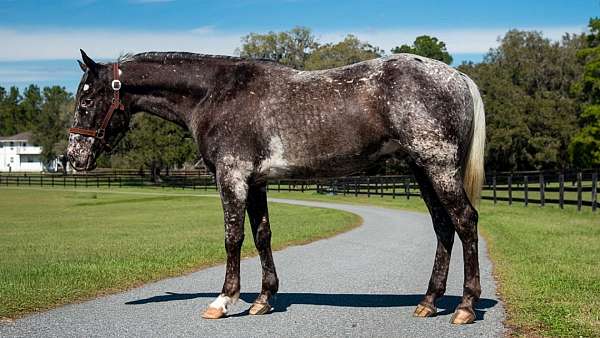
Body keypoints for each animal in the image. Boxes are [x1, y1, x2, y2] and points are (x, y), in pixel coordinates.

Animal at [68, 49, 486, 324]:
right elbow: (262, 236)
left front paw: (223, 300)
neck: (216, 93)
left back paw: (465, 306)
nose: (74, 157)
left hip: (438, 167)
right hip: (422, 170)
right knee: (443, 227)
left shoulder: (232, 176)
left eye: (87, 100)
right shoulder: (255, 182)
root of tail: (459, 78)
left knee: (465, 221)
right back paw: (429, 302)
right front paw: (263, 299)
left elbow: (233, 238)